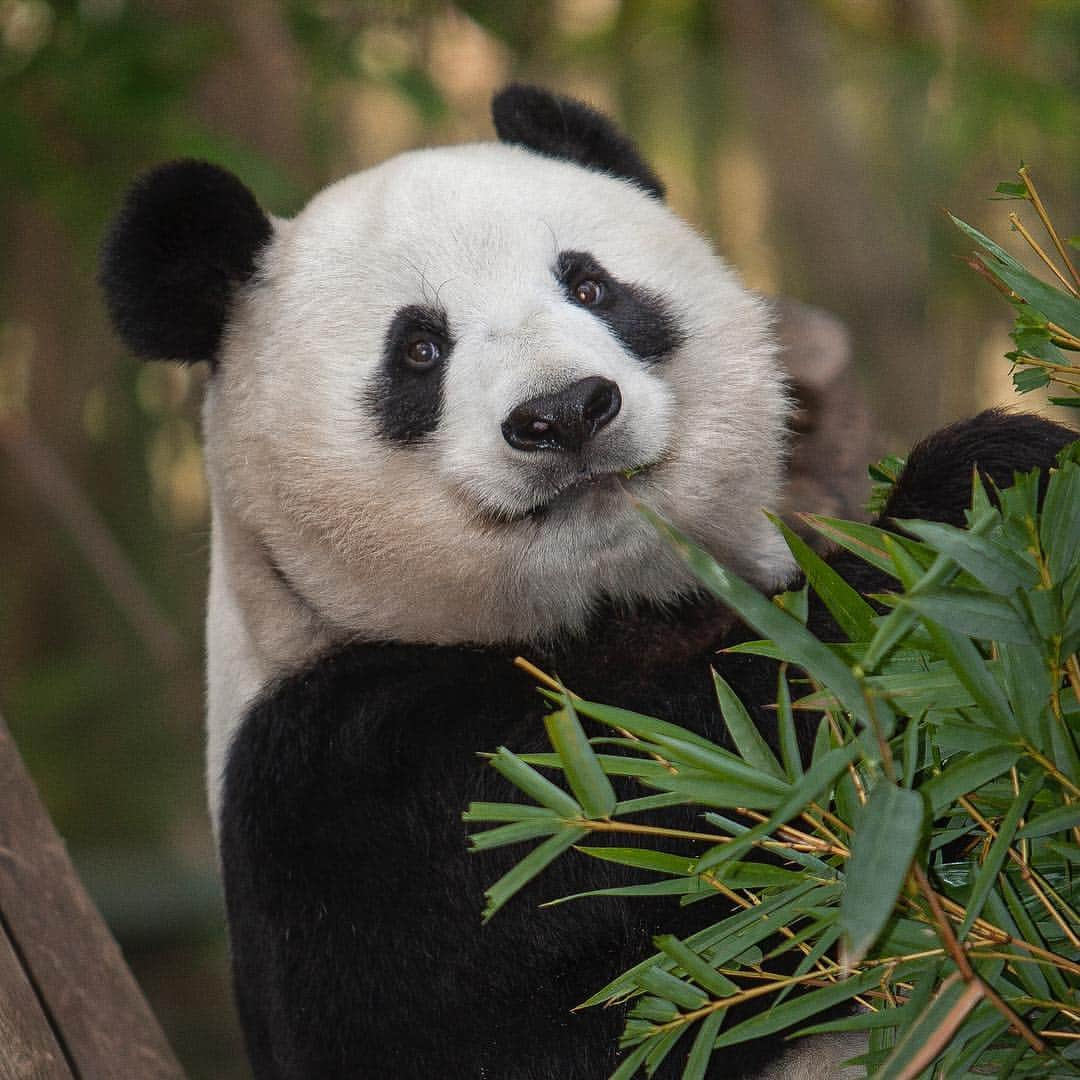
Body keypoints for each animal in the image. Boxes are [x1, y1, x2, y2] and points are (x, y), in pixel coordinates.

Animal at [99, 86, 1071, 1080]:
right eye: (418, 349)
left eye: (591, 286)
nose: (565, 413)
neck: (598, 608)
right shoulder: (340, 788)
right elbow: (684, 794)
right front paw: (974, 493)